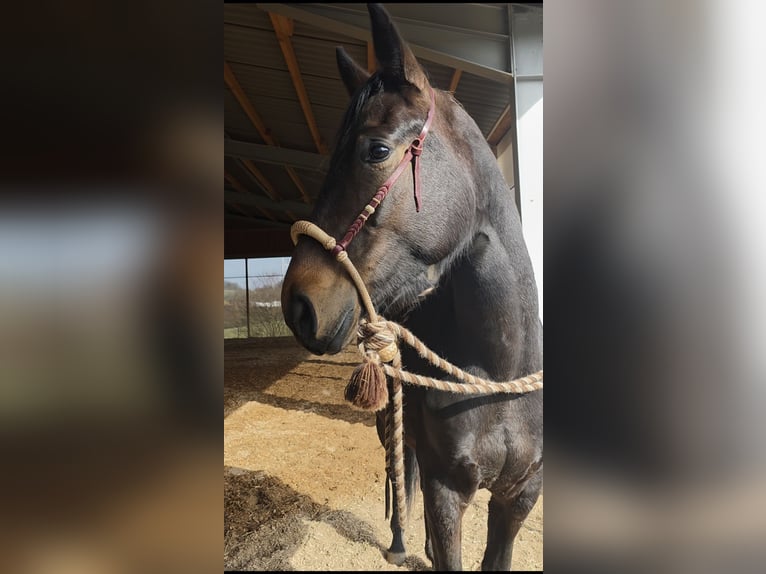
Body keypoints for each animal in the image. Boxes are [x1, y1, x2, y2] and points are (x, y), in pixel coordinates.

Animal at [281, 4, 542, 570]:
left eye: (377, 150)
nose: (297, 305)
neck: (500, 379)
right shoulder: (449, 492)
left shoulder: (519, 497)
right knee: (400, 468)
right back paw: (401, 542)